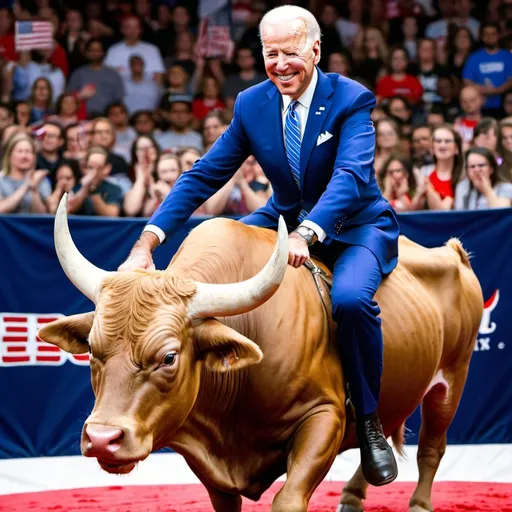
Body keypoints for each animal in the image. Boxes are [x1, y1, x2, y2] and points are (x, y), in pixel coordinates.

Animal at [38, 196, 482, 512]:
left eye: (169, 357)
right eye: (92, 349)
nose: (102, 439)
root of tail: (453, 254)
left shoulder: (325, 418)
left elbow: (288, 498)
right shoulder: (211, 466)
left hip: (452, 380)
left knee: (431, 448)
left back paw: (419, 503)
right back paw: (355, 495)